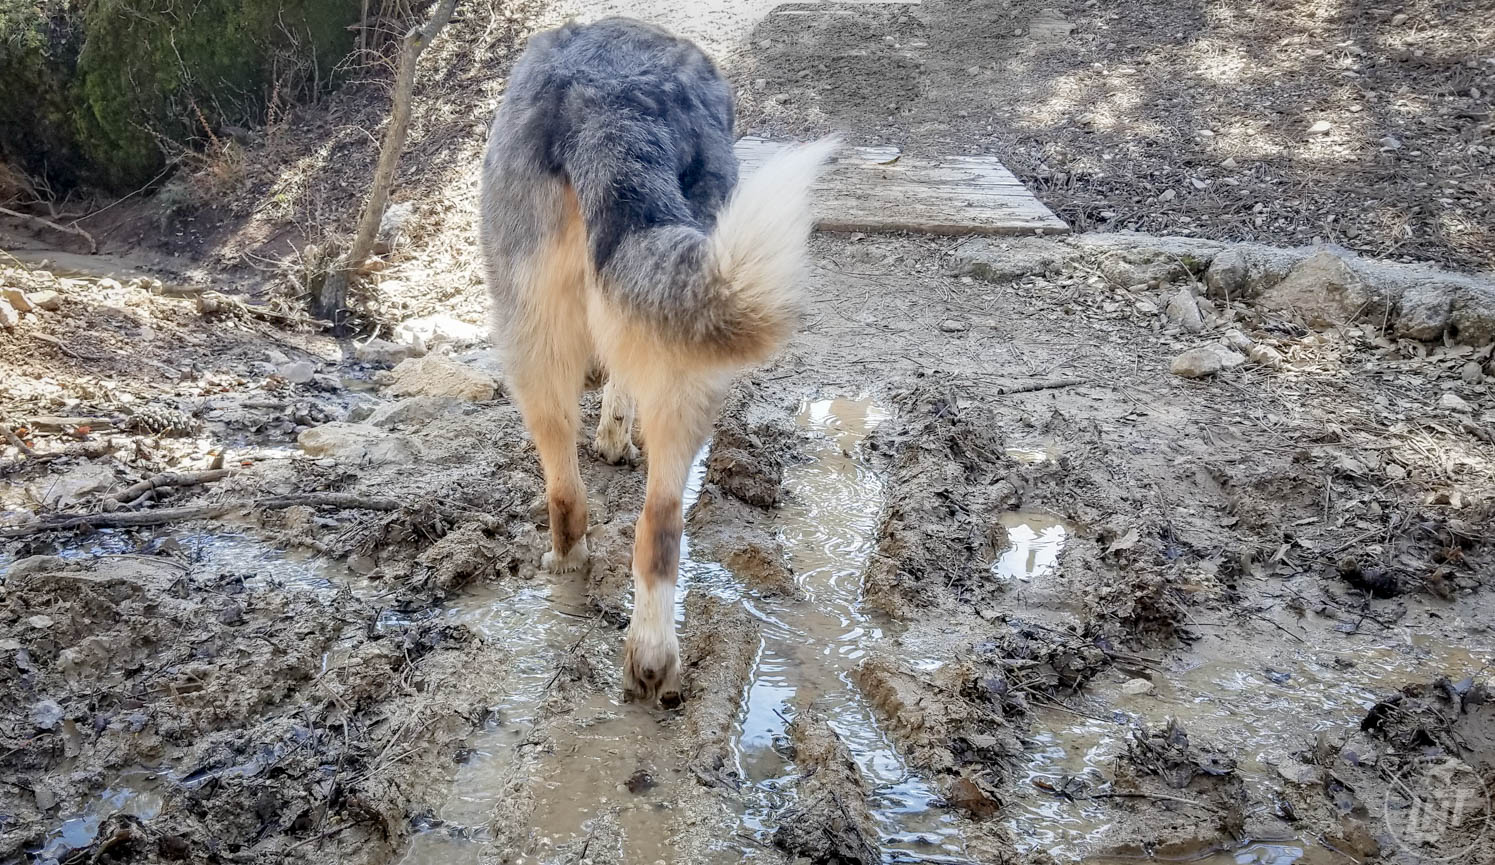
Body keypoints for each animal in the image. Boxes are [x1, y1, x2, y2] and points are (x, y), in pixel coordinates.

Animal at [478, 16, 837, 708]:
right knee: (660, 522)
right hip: (682, 350)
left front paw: (613, 436)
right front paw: (617, 435)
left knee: (573, 494)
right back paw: (650, 655)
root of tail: (612, 106)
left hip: (537, 342)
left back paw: (572, 568)